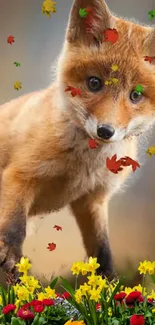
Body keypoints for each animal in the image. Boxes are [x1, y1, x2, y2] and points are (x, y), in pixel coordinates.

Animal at [0, 0, 155, 278]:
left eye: (136, 95)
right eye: (94, 83)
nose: (105, 131)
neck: (82, 167)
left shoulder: (92, 200)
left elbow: (102, 250)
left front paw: (107, 284)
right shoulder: (20, 175)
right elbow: (14, 226)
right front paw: (10, 256)